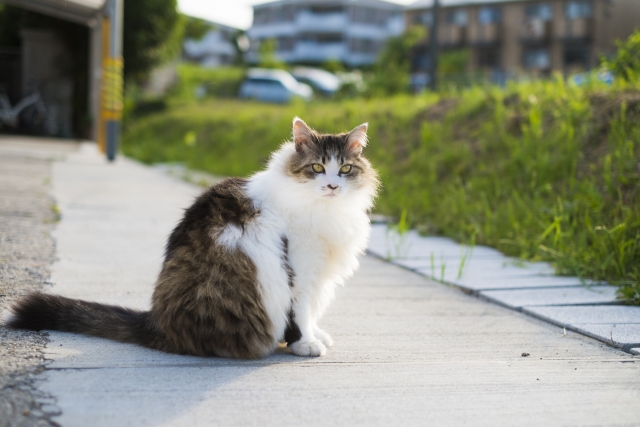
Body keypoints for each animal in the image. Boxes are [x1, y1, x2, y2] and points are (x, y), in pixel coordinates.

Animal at [7, 116, 380, 358]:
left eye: (345, 169)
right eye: (317, 168)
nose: (331, 185)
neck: (327, 211)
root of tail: (156, 320)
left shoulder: (321, 274)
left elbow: (313, 312)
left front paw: (316, 335)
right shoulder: (300, 270)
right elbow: (301, 313)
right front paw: (304, 344)